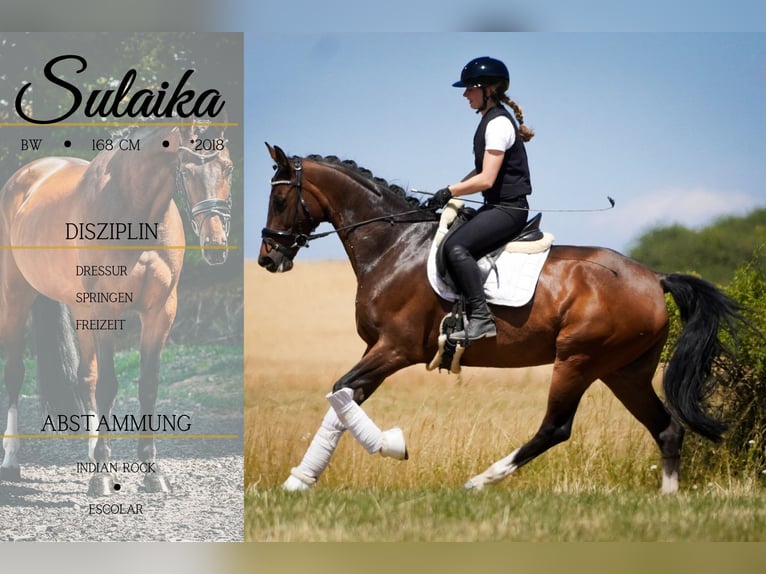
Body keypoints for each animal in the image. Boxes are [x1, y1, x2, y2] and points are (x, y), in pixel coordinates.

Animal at [0, 122, 233, 495]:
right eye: (185, 170)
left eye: (227, 167)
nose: (215, 246)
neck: (135, 213)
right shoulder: (105, 310)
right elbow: (109, 386)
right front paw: (103, 477)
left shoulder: (160, 312)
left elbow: (147, 385)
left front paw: (151, 473)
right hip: (16, 297)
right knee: (15, 374)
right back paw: (11, 461)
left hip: (79, 310)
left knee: (84, 378)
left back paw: (89, 455)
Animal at [258, 143, 746, 493]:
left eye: (279, 198)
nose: (267, 258)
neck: (394, 246)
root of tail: (654, 278)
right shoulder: (378, 351)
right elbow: (343, 400)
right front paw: (299, 480)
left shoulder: (394, 349)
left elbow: (341, 392)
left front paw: (392, 445)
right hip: (623, 370)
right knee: (666, 429)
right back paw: (667, 500)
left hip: (579, 360)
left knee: (556, 427)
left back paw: (479, 481)